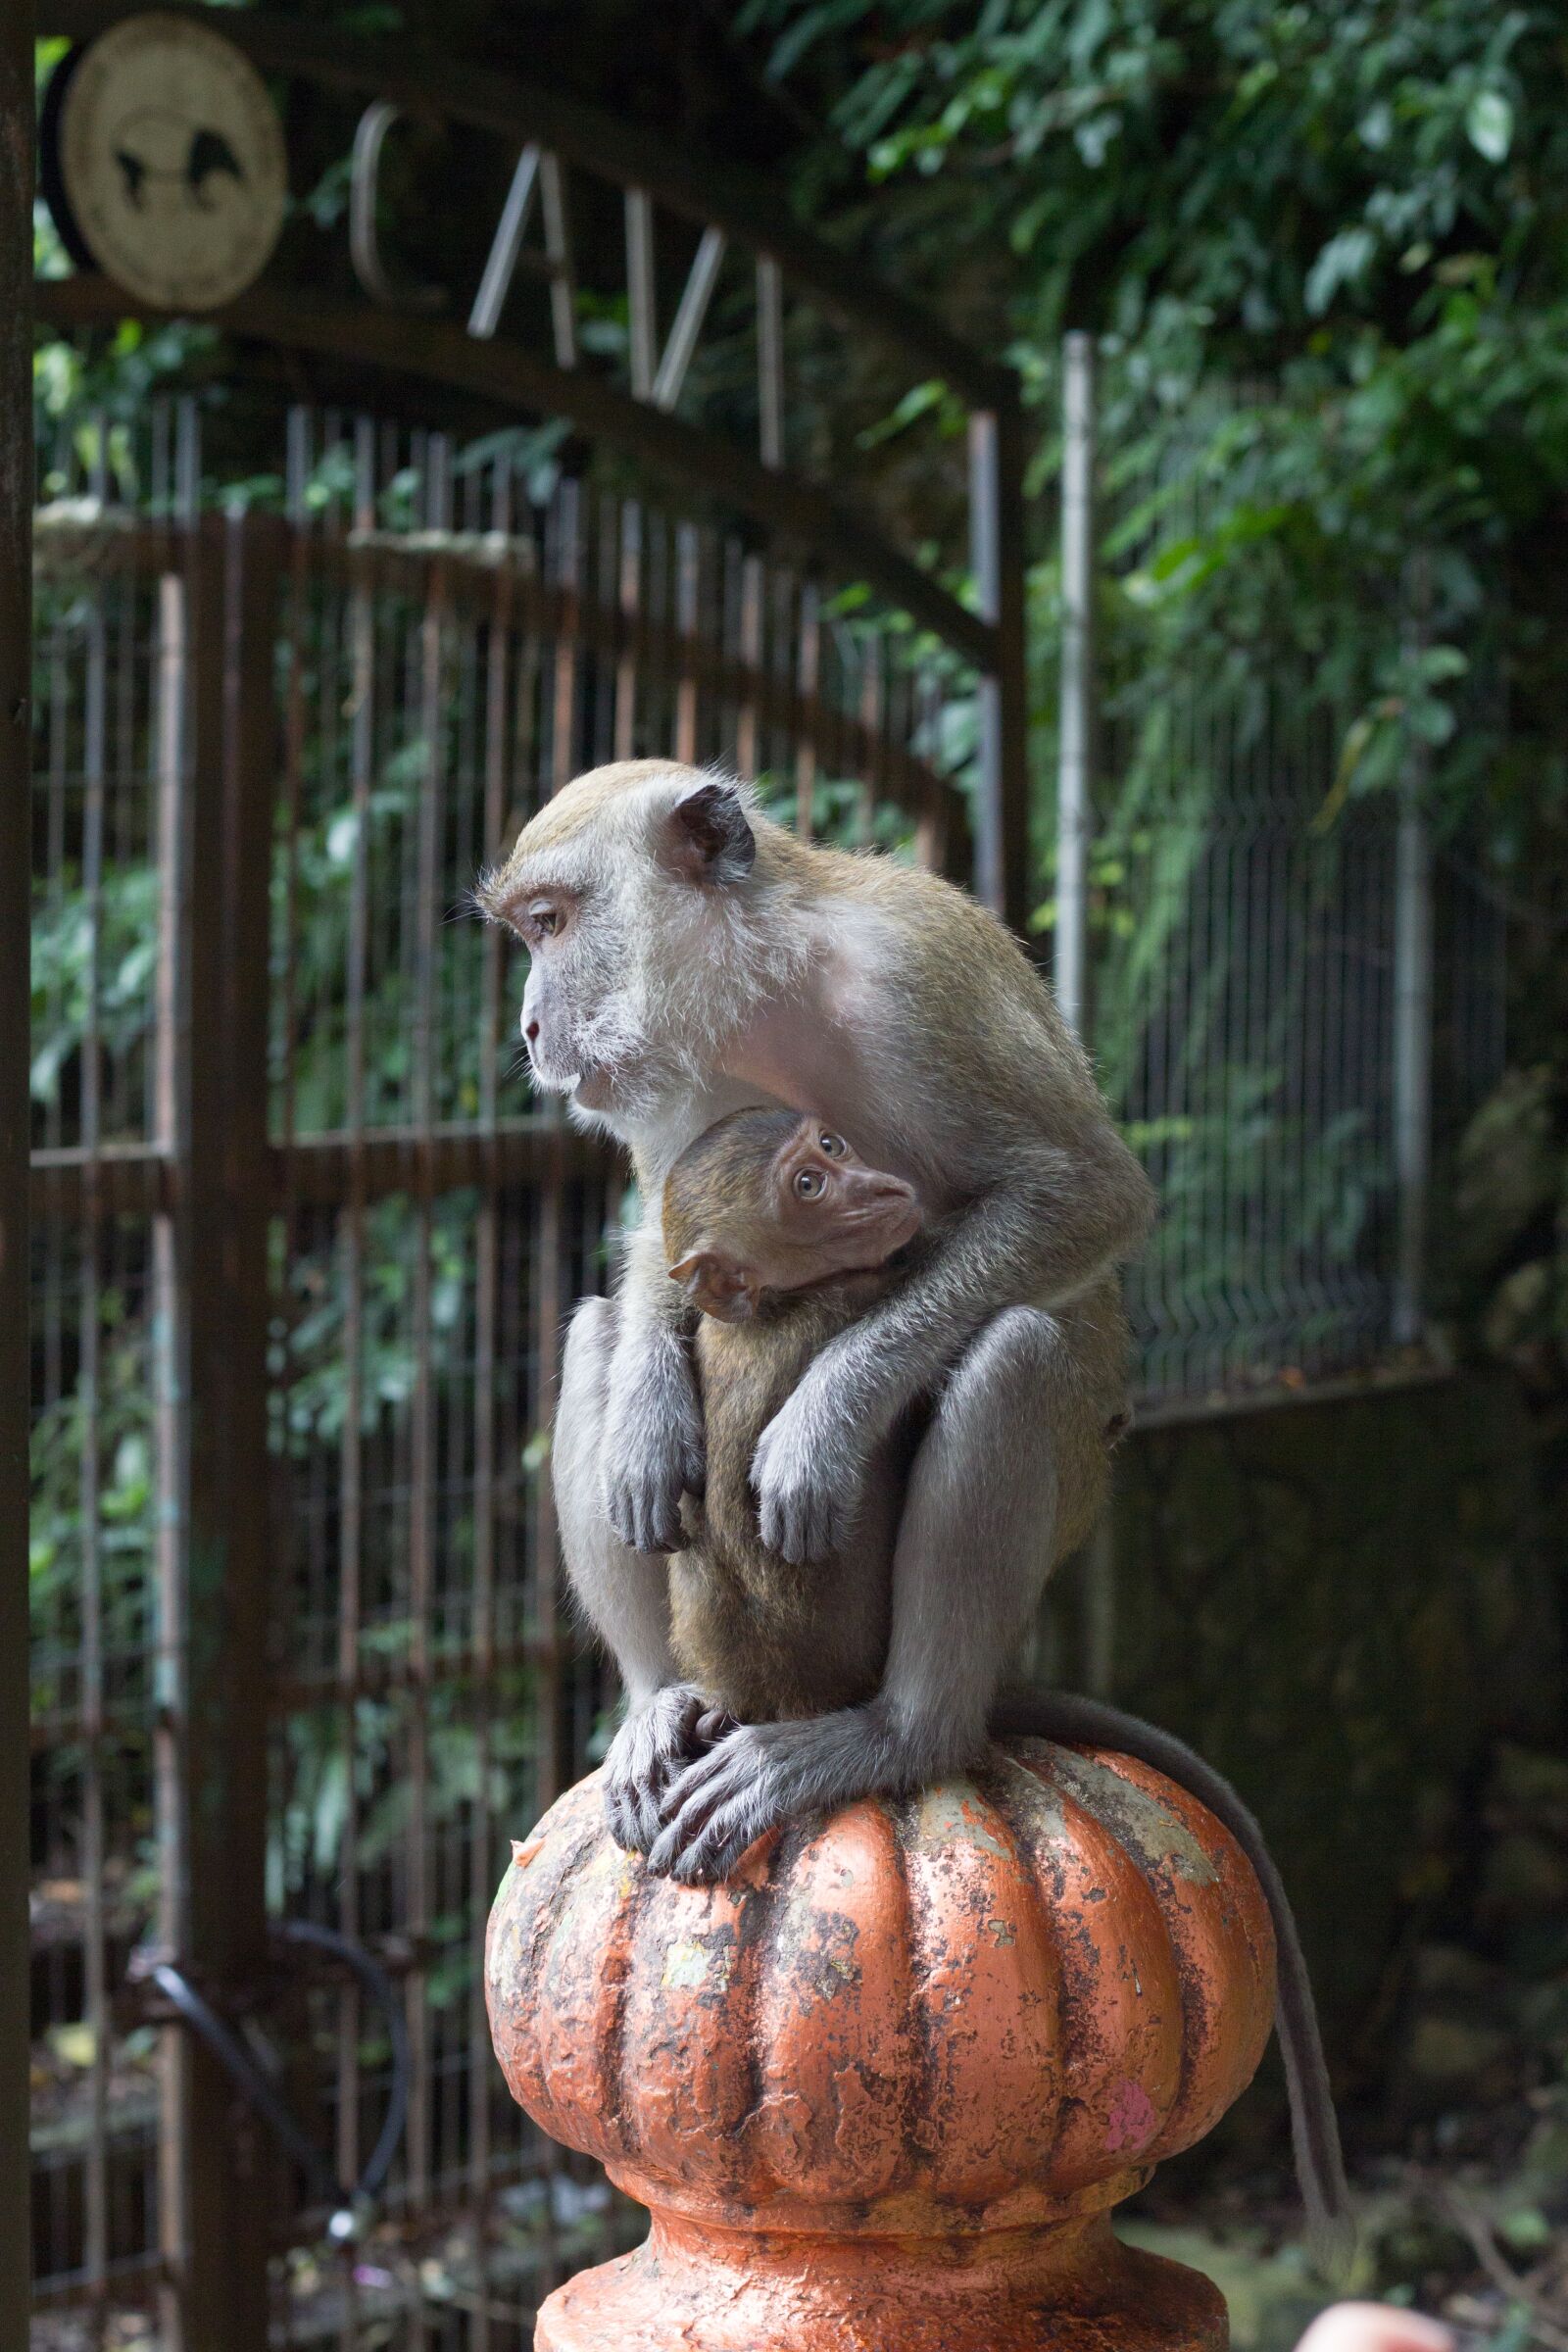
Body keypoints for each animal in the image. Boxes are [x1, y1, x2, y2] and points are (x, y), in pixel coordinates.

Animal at [645, 1102, 1350, 2266]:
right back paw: (907, 1736)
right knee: (1009, 1353)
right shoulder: (855, 1288)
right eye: (808, 1185)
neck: (781, 1300)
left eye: (827, 1149)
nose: (874, 1182)